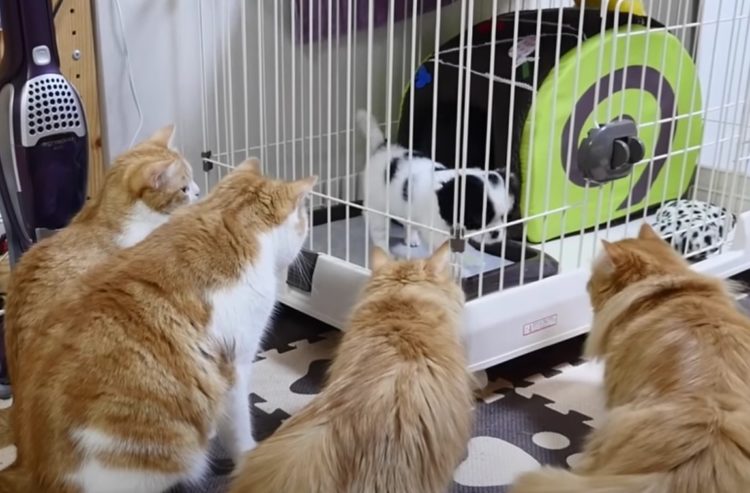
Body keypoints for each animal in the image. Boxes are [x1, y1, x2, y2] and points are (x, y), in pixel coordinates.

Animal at [0, 158, 316, 493]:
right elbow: (239, 428)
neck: (228, 220)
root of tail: (27, 464)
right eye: (303, 220)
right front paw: (248, 458)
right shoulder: (233, 367)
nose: (306, 237)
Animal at [356, 109, 516, 254]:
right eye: (477, 220)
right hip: (377, 206)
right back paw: (384, 252)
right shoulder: (438, 232)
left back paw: (411, 238)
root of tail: (382, 148)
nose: (496, 233)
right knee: (379, 231)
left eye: (505, 217)